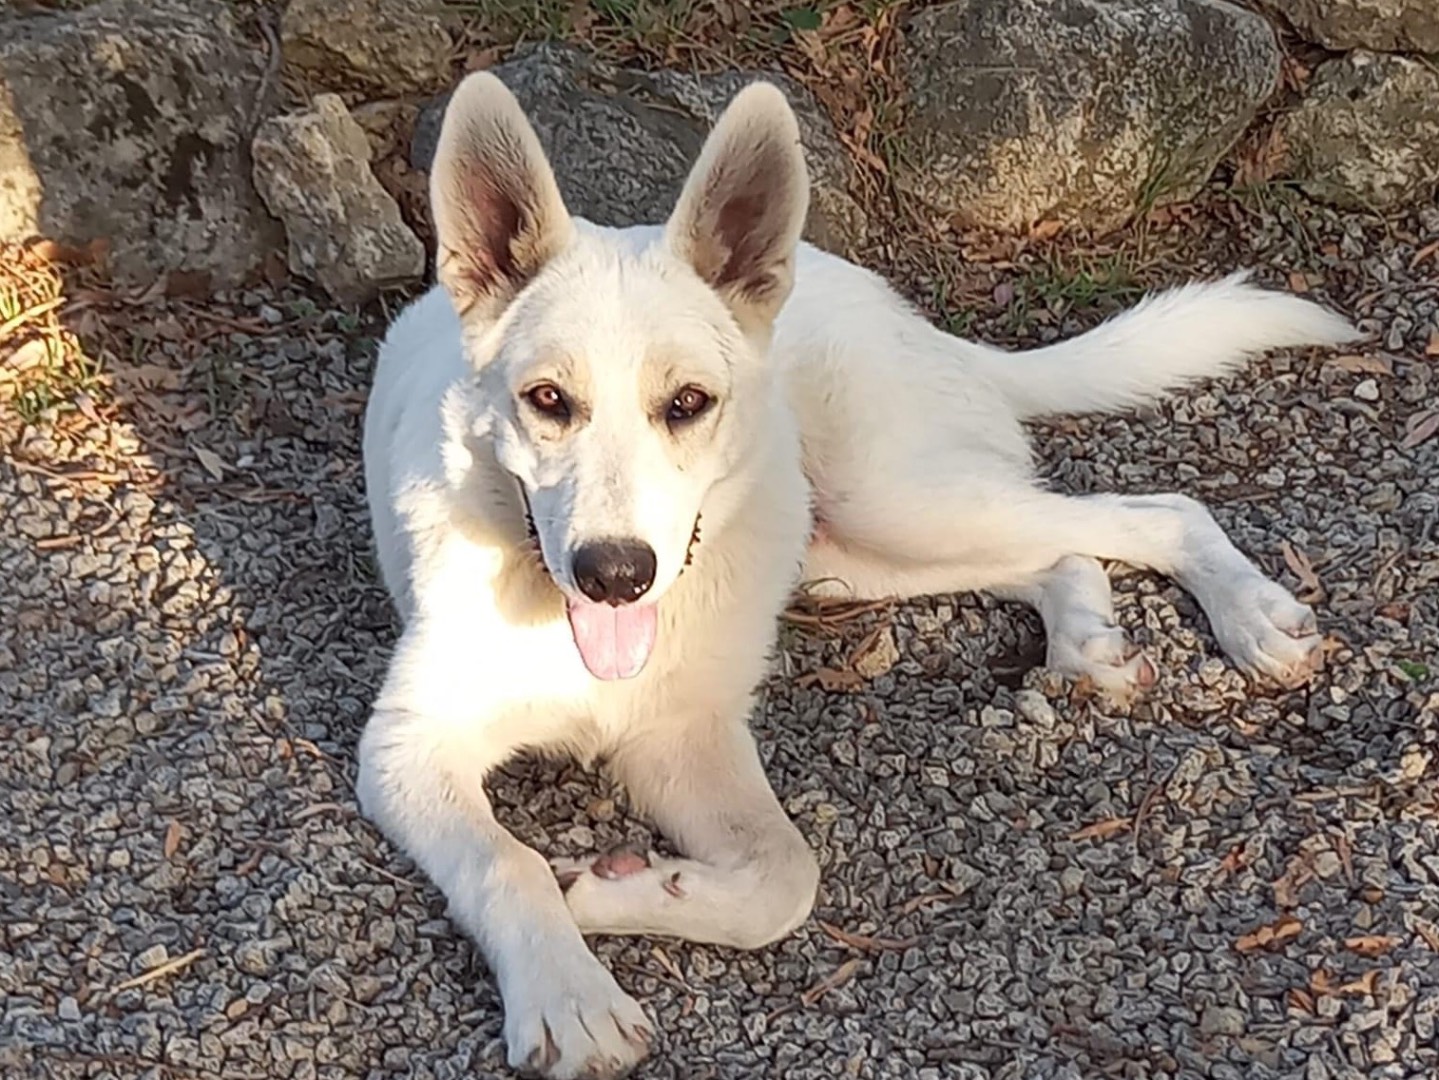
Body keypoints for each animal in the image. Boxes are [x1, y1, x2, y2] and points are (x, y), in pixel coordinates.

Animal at [359, 71, 1358, 1075]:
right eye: (546, 400)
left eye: (687, 403)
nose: (613, 575)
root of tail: (901, 312)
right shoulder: (409, 749)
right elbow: (509, 861)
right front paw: (570, 995)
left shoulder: (683, 736)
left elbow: (786, 876)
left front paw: (618, 897)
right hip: (849, 553)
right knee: (1063, 554)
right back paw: (1087, 643)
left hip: (887, 498)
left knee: (1156, 511)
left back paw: (1251, 616)